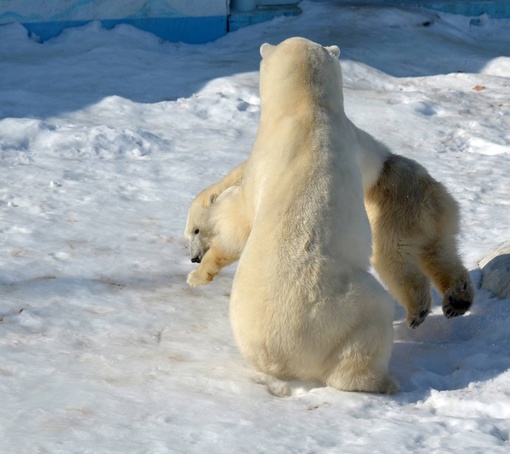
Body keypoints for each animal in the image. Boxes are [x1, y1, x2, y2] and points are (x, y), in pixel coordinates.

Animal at [185, 38, 396, 394]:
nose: (192, 257)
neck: (304, 108)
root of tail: (282, 354)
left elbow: (239, 219)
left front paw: (201, 269)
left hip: (345, 311)